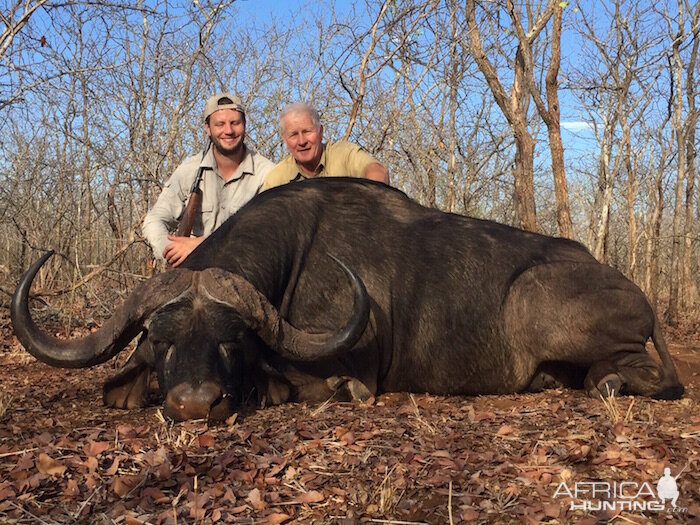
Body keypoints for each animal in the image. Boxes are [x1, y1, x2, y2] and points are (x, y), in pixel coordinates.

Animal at [10, 178, 684, 420]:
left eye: (231, 341)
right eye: (160, 340)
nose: (195, 405)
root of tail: (634, 291)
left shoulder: (351, 373)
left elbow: (318, 386)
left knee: (635, 375)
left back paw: (610, 384)